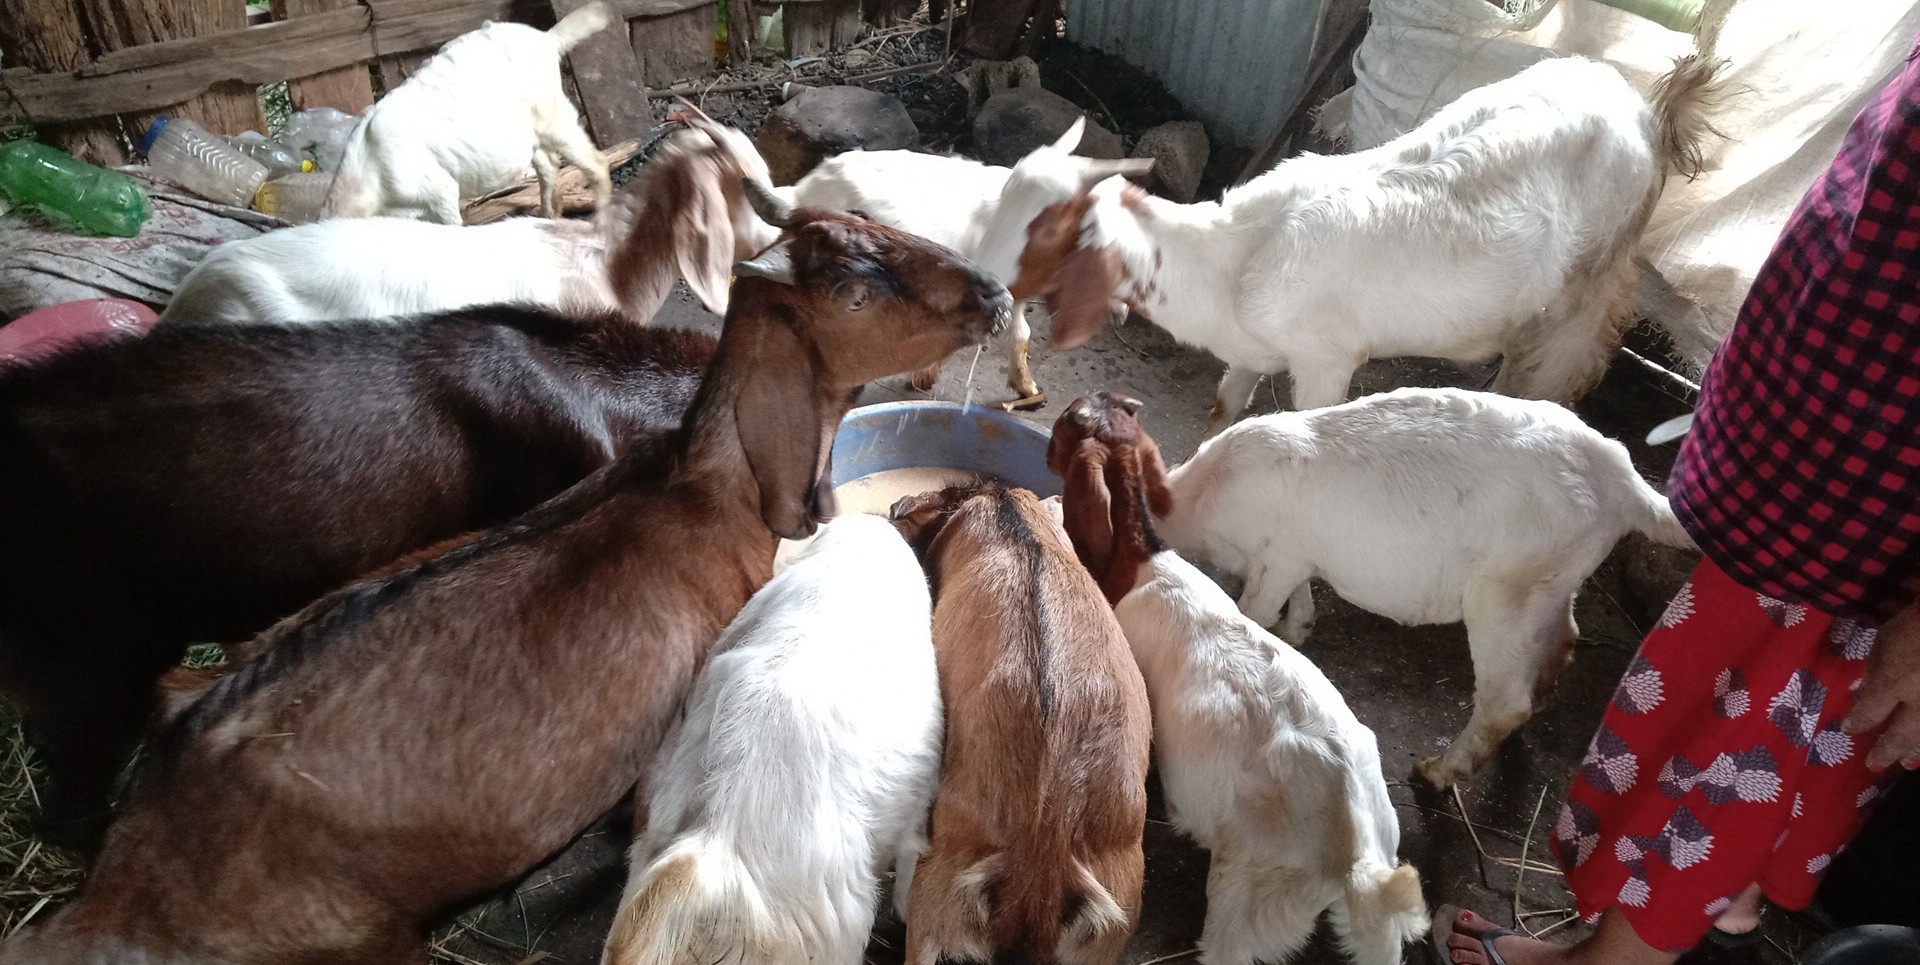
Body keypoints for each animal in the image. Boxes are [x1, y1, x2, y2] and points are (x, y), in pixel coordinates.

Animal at [322, 2, 616, 223]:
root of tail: (547, 38)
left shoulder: (439, 193)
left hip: (553, 115)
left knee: (595, 163)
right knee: (548, 164)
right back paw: (548, 215)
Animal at [1005, 51, 1725, 435]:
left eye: (1043, 233)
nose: (991, 291)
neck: (1230, 262)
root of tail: (1649, 111)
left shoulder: (1325, 363)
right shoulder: (1250, 350)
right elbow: (1223, 405)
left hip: (1595, 271)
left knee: (1565, 354)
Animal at [1050, 392, 1426, 965]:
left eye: (1065, 427)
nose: (1048, 452)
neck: (1141, 561)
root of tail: (1356, 840)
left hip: (1250, 889)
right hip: (1370, 911)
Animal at [1142, 386, 1700, 789]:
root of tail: (1623, 481)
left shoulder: (1277, 555)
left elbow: (1253, 610)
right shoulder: (1298, 555)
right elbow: (1298, 597)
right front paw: (1299, 628)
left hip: (1505, 592)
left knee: (1503, 702)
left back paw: (1437, 772)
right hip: (1553, 580)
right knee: (1564, 639)